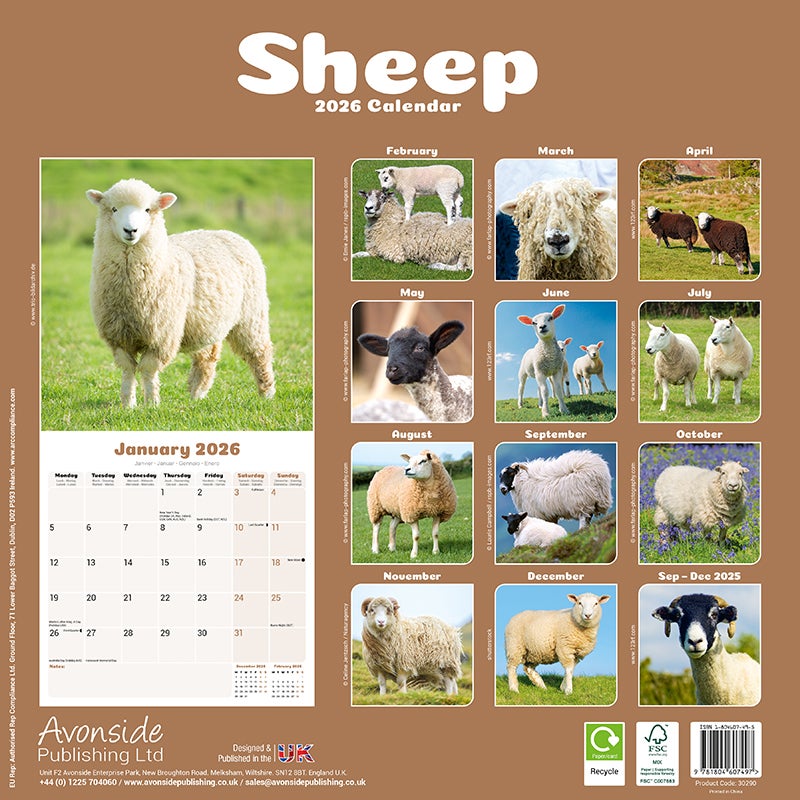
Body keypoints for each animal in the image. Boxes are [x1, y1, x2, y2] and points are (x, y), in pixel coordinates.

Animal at [86, 178, 274, 407]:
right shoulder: (119, 336)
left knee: (259, 352)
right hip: (206, 321)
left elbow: (148, 370)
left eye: (148, 209)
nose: (130, 230)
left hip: (252, 315)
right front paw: (128, 404)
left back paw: (267, 393)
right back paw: (197, 394)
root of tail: (226, 232)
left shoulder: (161, 335)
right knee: (207, 357)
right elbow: (128, 369)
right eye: (114, 209)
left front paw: (151, 403)